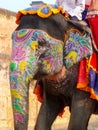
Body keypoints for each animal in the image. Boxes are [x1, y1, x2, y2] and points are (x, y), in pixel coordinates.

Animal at [9, 2, 95, 130]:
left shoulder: (85, 82)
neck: (68, 23)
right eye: (12, 40)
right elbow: (44, 116)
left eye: (41, 44)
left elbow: (77, 122)